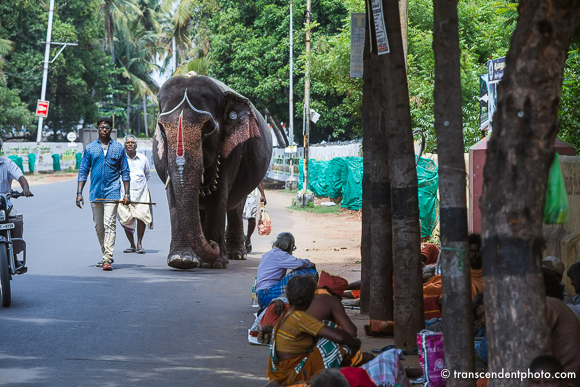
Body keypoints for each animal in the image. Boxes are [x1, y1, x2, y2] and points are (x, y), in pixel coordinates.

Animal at [153, 75, 274, 270]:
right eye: (162, 129)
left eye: (209, 127)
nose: (212, 245)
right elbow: (173, 195)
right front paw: (181, 260)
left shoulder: (233, 148)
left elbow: (218, 195)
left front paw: (215, 263)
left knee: (235, 207)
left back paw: (236, 254)